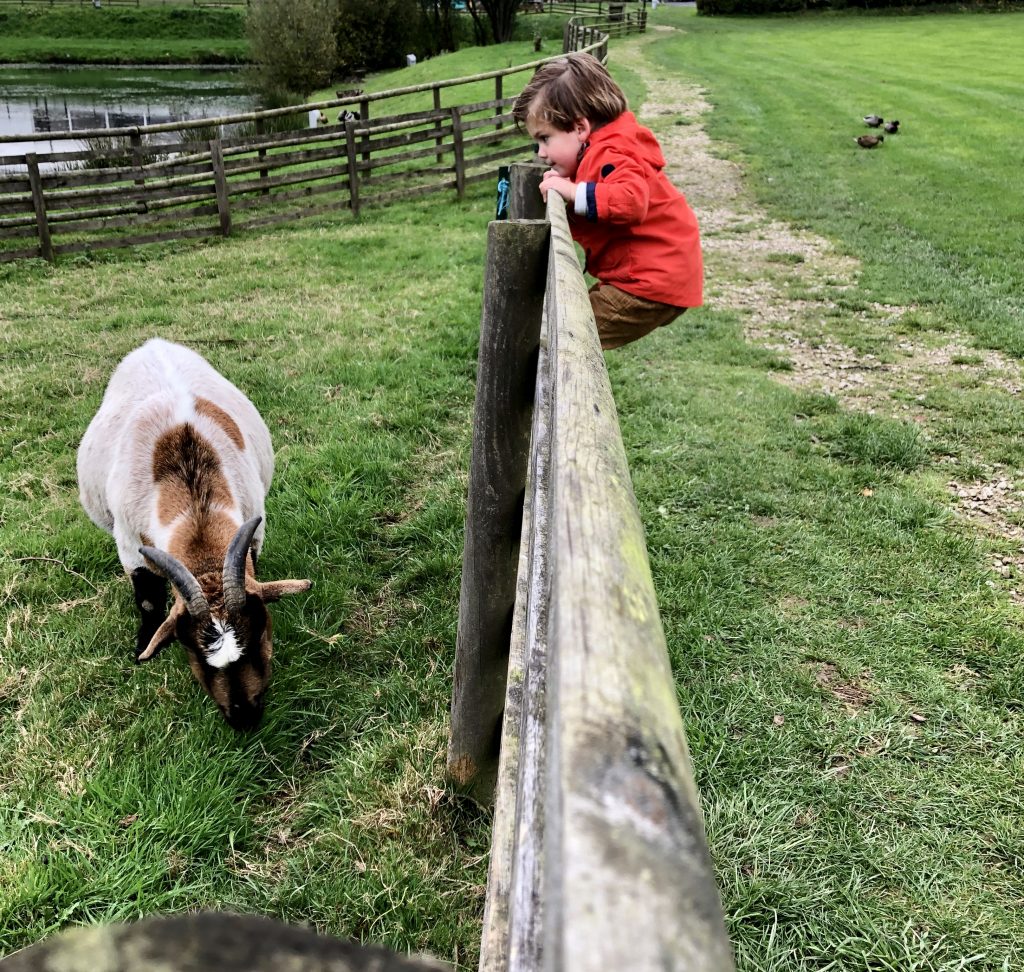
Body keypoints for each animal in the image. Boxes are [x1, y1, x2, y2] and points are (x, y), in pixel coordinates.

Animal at [77, 342, 309, 729]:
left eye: (260, 630)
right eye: (191, 649)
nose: (244, 717)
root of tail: (153, 343)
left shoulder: (254, 534)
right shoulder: (129, 547)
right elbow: (148, 600)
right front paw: (144, 646)